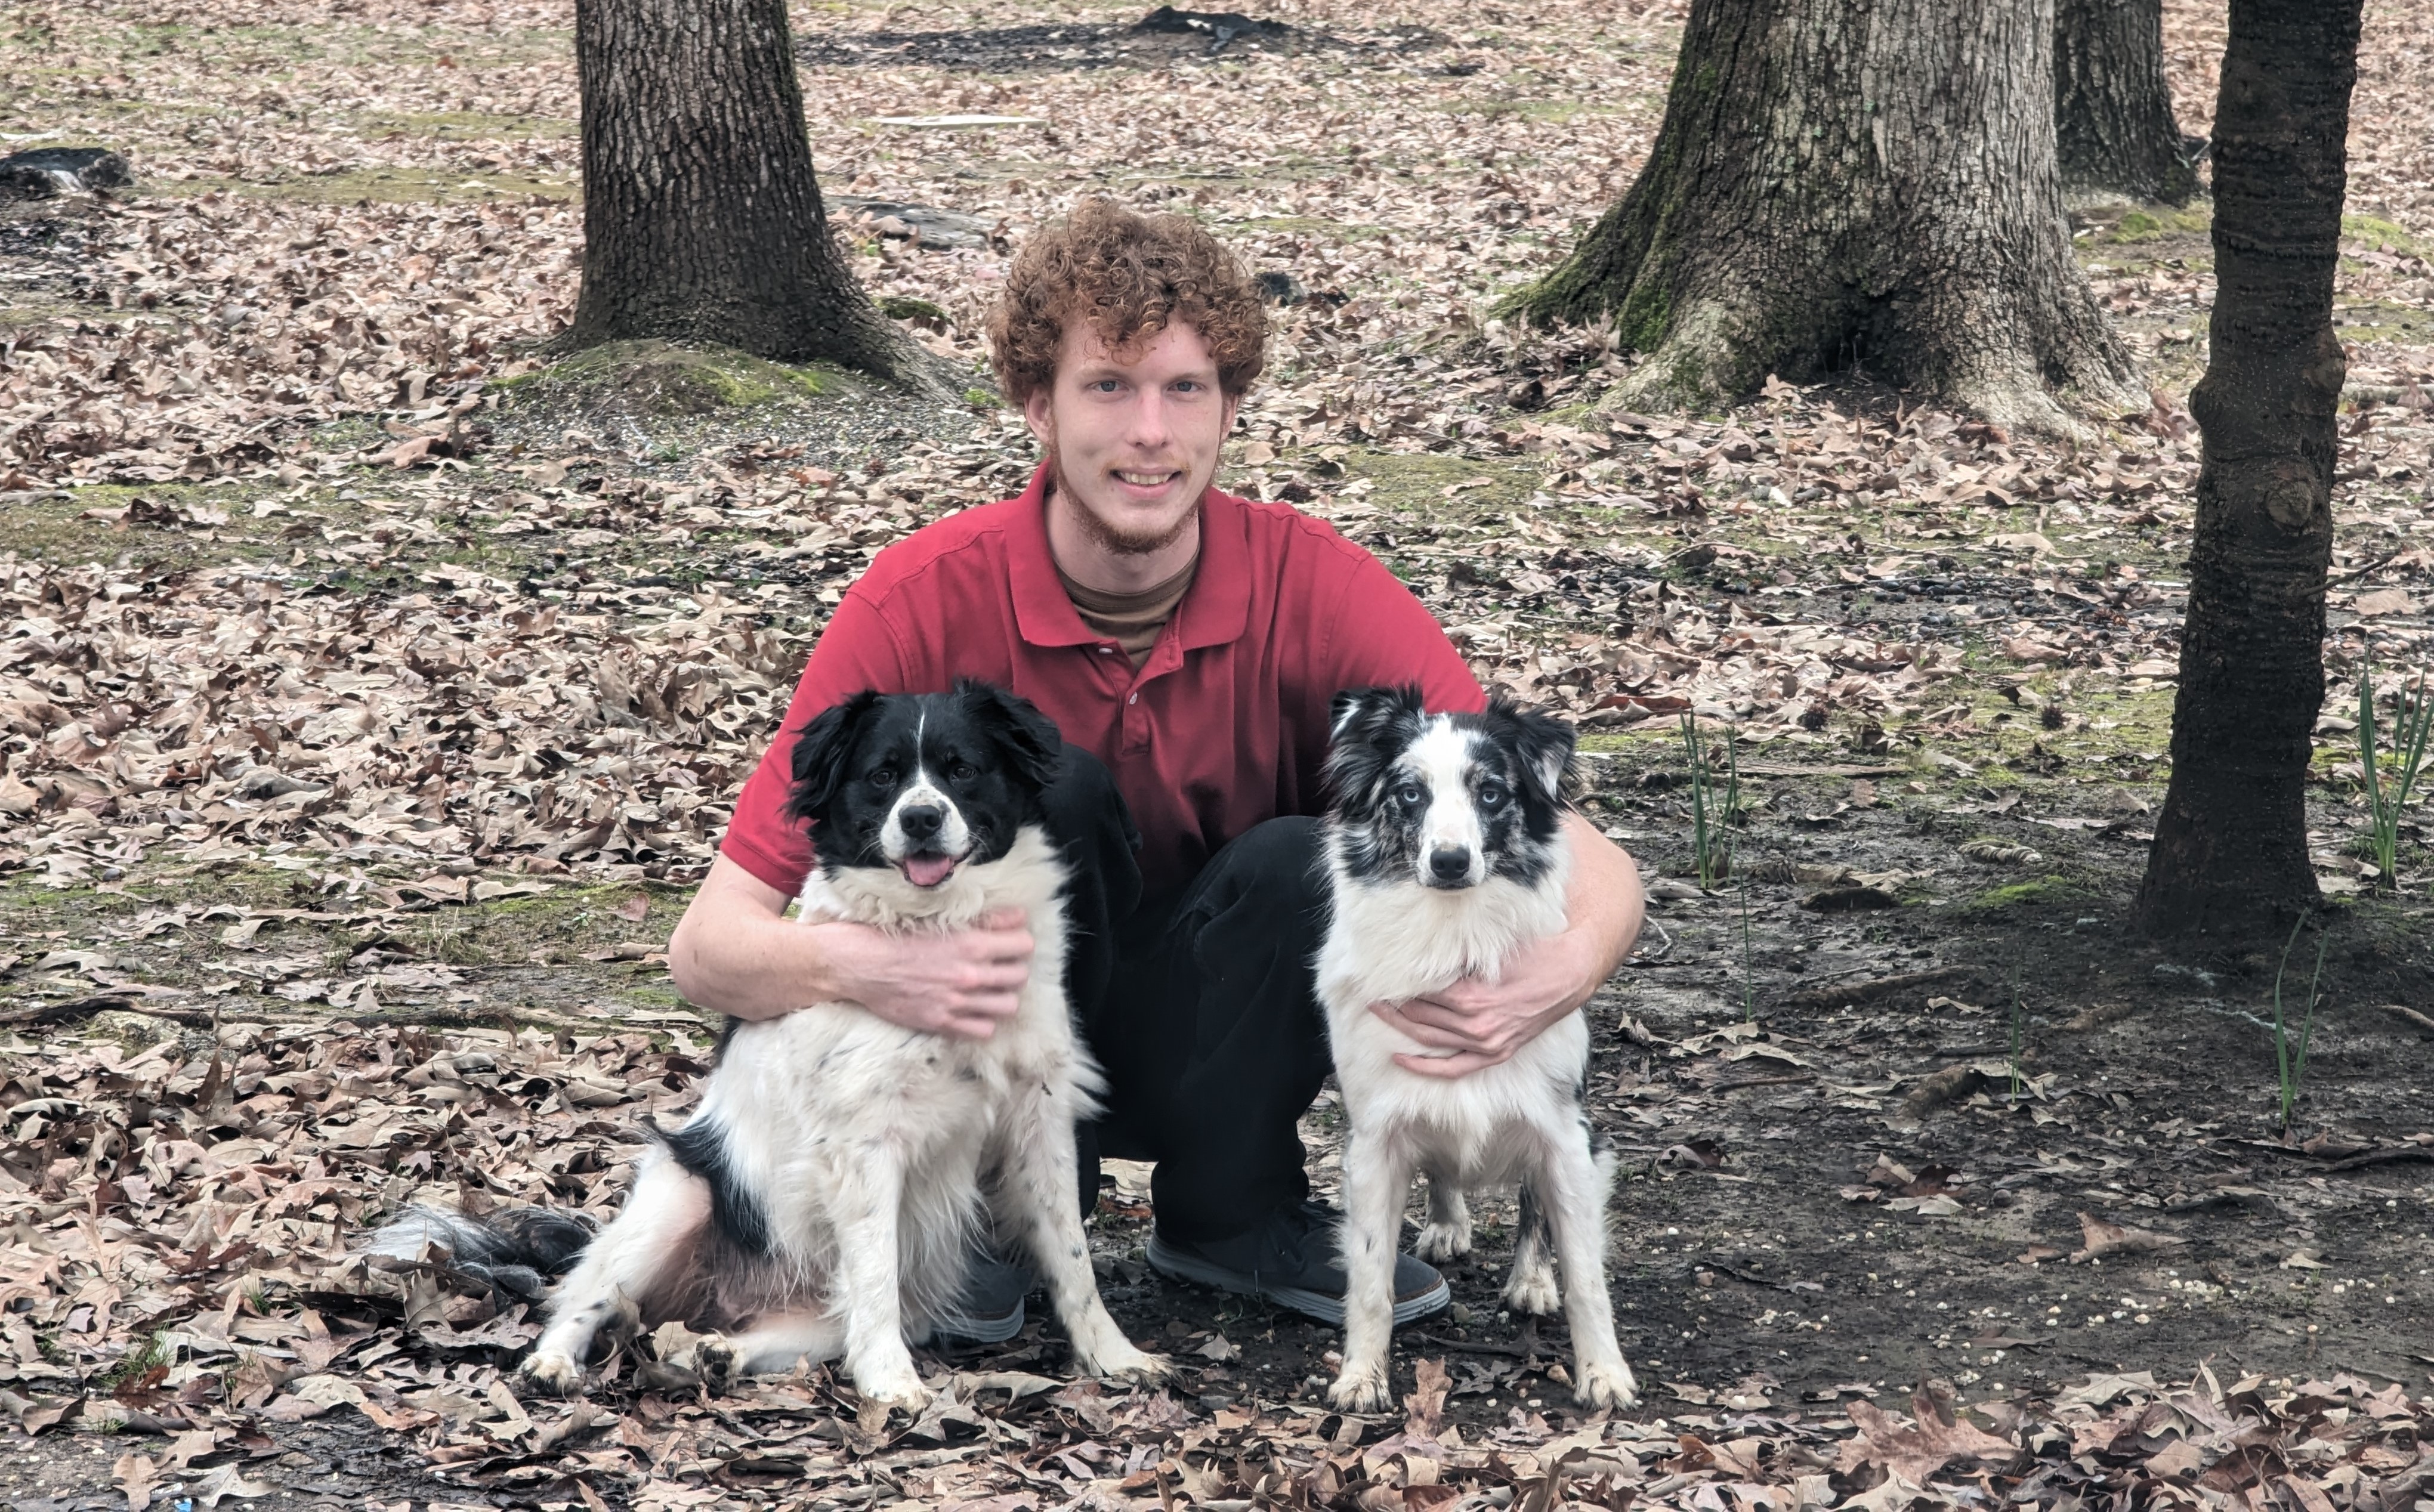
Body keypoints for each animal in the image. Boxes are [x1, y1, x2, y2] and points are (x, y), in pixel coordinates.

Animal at [377, 676, 1168, 1412]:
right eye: (882, 775)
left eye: (962, 769)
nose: (920, 818)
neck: (938, 927)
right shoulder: (866, 1145)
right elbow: (875, 1274)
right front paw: (892, 1385)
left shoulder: (1039, 1121)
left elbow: (1072, 1259)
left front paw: (1115, 1356)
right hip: (675, 1200)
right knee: (585, 1293)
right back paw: (552, 1362)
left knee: (769, 1329)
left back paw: (713, 1354)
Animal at [1314, 681, 1635, 1412]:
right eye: (1409, 794)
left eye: (1490, 793)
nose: (1451, 861)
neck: (1452, 936)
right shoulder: (1373, 1142)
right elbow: (1370, 1277)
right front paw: (1362, 1376)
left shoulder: (1567, 1136)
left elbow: (1586, 1275)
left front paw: (1604, 1371)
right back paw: (1446, 1220)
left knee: (1533, 1211)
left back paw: (1531, 1279)